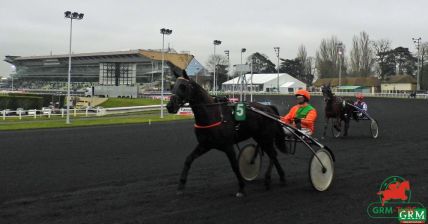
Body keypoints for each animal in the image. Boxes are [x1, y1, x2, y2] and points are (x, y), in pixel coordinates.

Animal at [167, 69, 288, 197]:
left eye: (183, 86)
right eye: (172, 86)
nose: (169, 106)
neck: (213, 115)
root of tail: (268, 108)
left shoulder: (228, 146)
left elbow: (234, 166)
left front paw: (241, 188)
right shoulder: (205, 145)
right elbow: (188, 159)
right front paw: (180, 186)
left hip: (266, 137)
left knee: (273, 154)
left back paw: (270, 179)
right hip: (259, 137)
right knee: (272, 155)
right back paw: (279, 178)